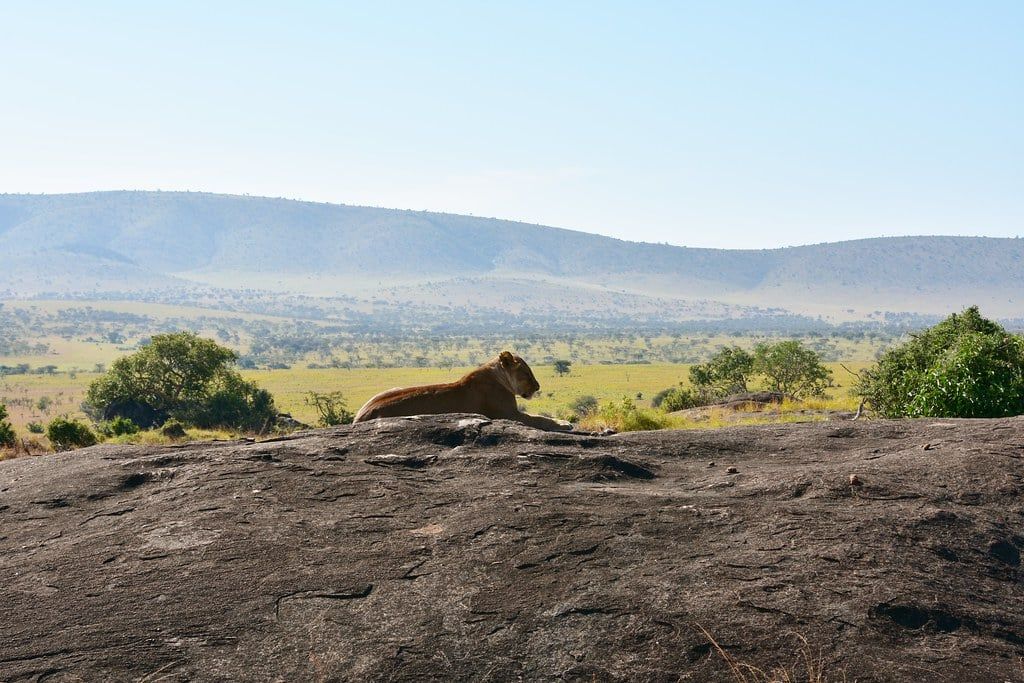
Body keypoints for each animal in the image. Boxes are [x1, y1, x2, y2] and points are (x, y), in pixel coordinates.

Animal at [353, 351, 572, 431]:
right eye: (526, 373)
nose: (538, 387)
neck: (497, 376)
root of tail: (358, 418)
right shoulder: (509, 415)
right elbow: (540, 419)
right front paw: (565, 423)